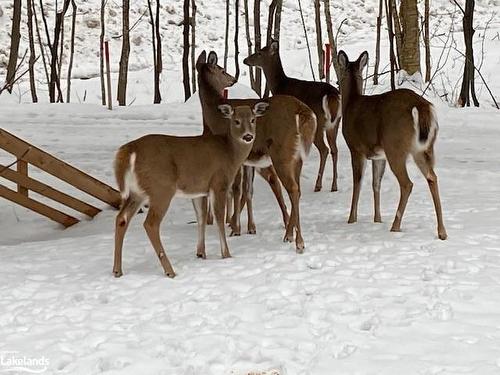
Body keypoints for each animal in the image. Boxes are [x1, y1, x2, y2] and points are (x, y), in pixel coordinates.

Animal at [112, 101, 268, 278]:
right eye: (236, 121)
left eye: (253, 119)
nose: (248, 136)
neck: (230, 153)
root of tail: (130, 150)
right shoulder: (218, 183)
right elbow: (219, 218)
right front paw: (226, 254)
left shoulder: (198, 190)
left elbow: (201, 217)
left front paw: (201, 253)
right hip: (161, 188)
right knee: (150, 224)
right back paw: (170, 271)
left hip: (137, 193)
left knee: (121, 219)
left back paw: (117, 270)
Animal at [196, 50, 316, 253]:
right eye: (222, 69)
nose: (233, 79)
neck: (214, 116)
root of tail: (302, 111)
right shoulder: (248, 161)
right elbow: (247, 190)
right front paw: (244, 227)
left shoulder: (233, 157)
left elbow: (236, 189)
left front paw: (235, 228)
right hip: (297, 157)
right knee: (296, 189)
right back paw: (290, 234)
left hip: (282, 152)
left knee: (292, 189)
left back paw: (297, 241)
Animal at [243, 40, 344, 194]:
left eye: (259, 52)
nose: (245, 60)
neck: (280, 85)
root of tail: (332, 95)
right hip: (335, 123)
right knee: (334, 149)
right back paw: (334, 186)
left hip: (319, 123)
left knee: (325, 149)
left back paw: (318, 185)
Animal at [338, 50, 448, 241]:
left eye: (338, 70)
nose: (336, 83)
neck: (350, 104)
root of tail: (421, 106)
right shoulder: (377, 154)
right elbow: (376, 183)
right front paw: (377, 219)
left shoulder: (356, 147)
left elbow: (357, 182)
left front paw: (351, 219)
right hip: (423, 148)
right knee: (432, 177)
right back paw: (442, 232)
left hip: (395, 146)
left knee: (407, 184)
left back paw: (395, 226)